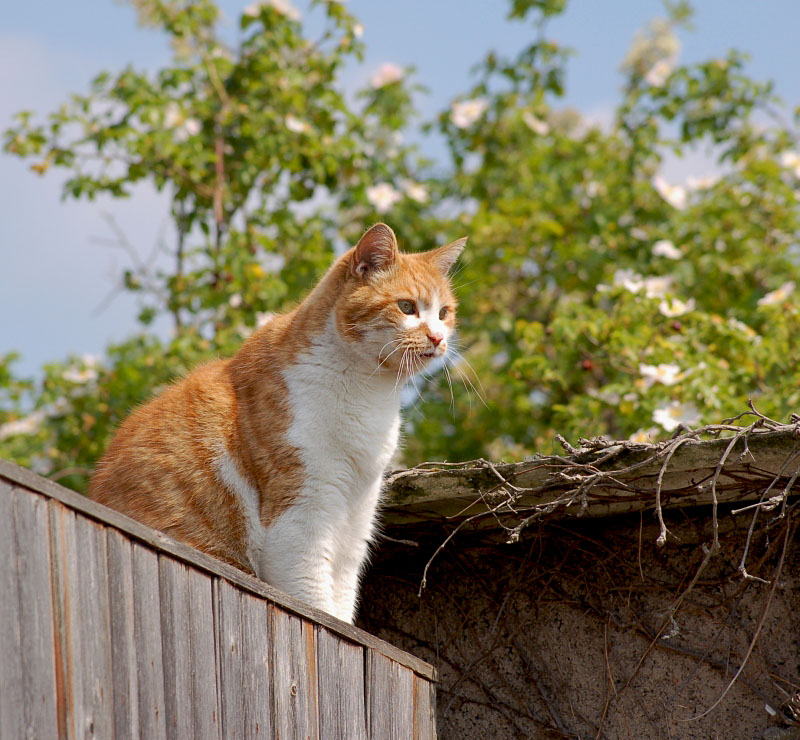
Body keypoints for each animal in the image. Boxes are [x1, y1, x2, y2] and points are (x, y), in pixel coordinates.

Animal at [88, 224, 466, 624]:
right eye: (407, 307)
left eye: (444, 313)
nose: (438, 337)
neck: (369, 390)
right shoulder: (301, 516)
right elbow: (316, 603)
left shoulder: (357, 516)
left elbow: (342, 601)